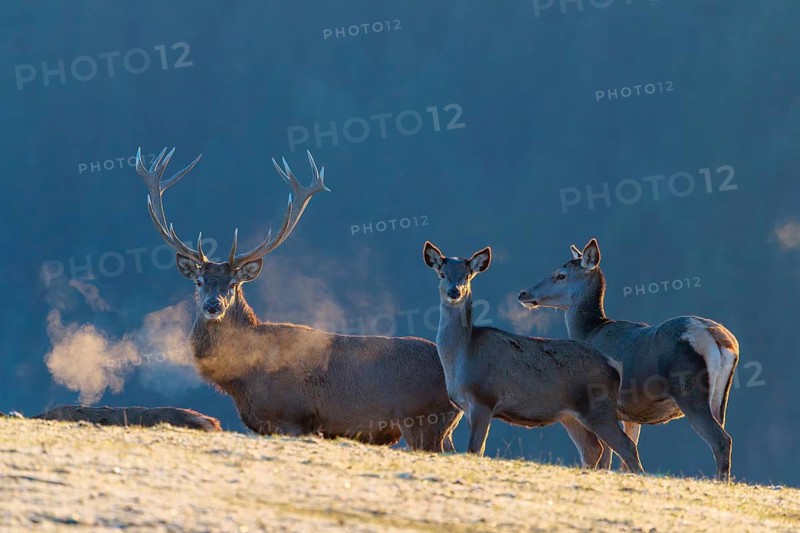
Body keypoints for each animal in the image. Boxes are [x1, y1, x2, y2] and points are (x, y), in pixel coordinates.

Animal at [135, 147, 461, 452]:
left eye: (233, 284)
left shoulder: (293, 418)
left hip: (423, 419)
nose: (212, 305)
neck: (244, 379)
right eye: (199, 281)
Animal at [422, 242, 644, 473]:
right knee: (593, 448)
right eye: (442, 274)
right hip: (571, 415)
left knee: (627, 445)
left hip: (598, 407)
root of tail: (614, 367)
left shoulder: (484, 398)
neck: (462, 355)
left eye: (467, 275)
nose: (454, 291)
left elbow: (474, 450)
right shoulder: (466, 406)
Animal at [518, 238, 739, 481]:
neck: (589, 331)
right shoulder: (630, 414)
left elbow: (605, 458)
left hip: (689, 390)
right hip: (720, 398)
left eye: (560, 275)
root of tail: (715, 335)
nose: (523, 293)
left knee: (721, 439)